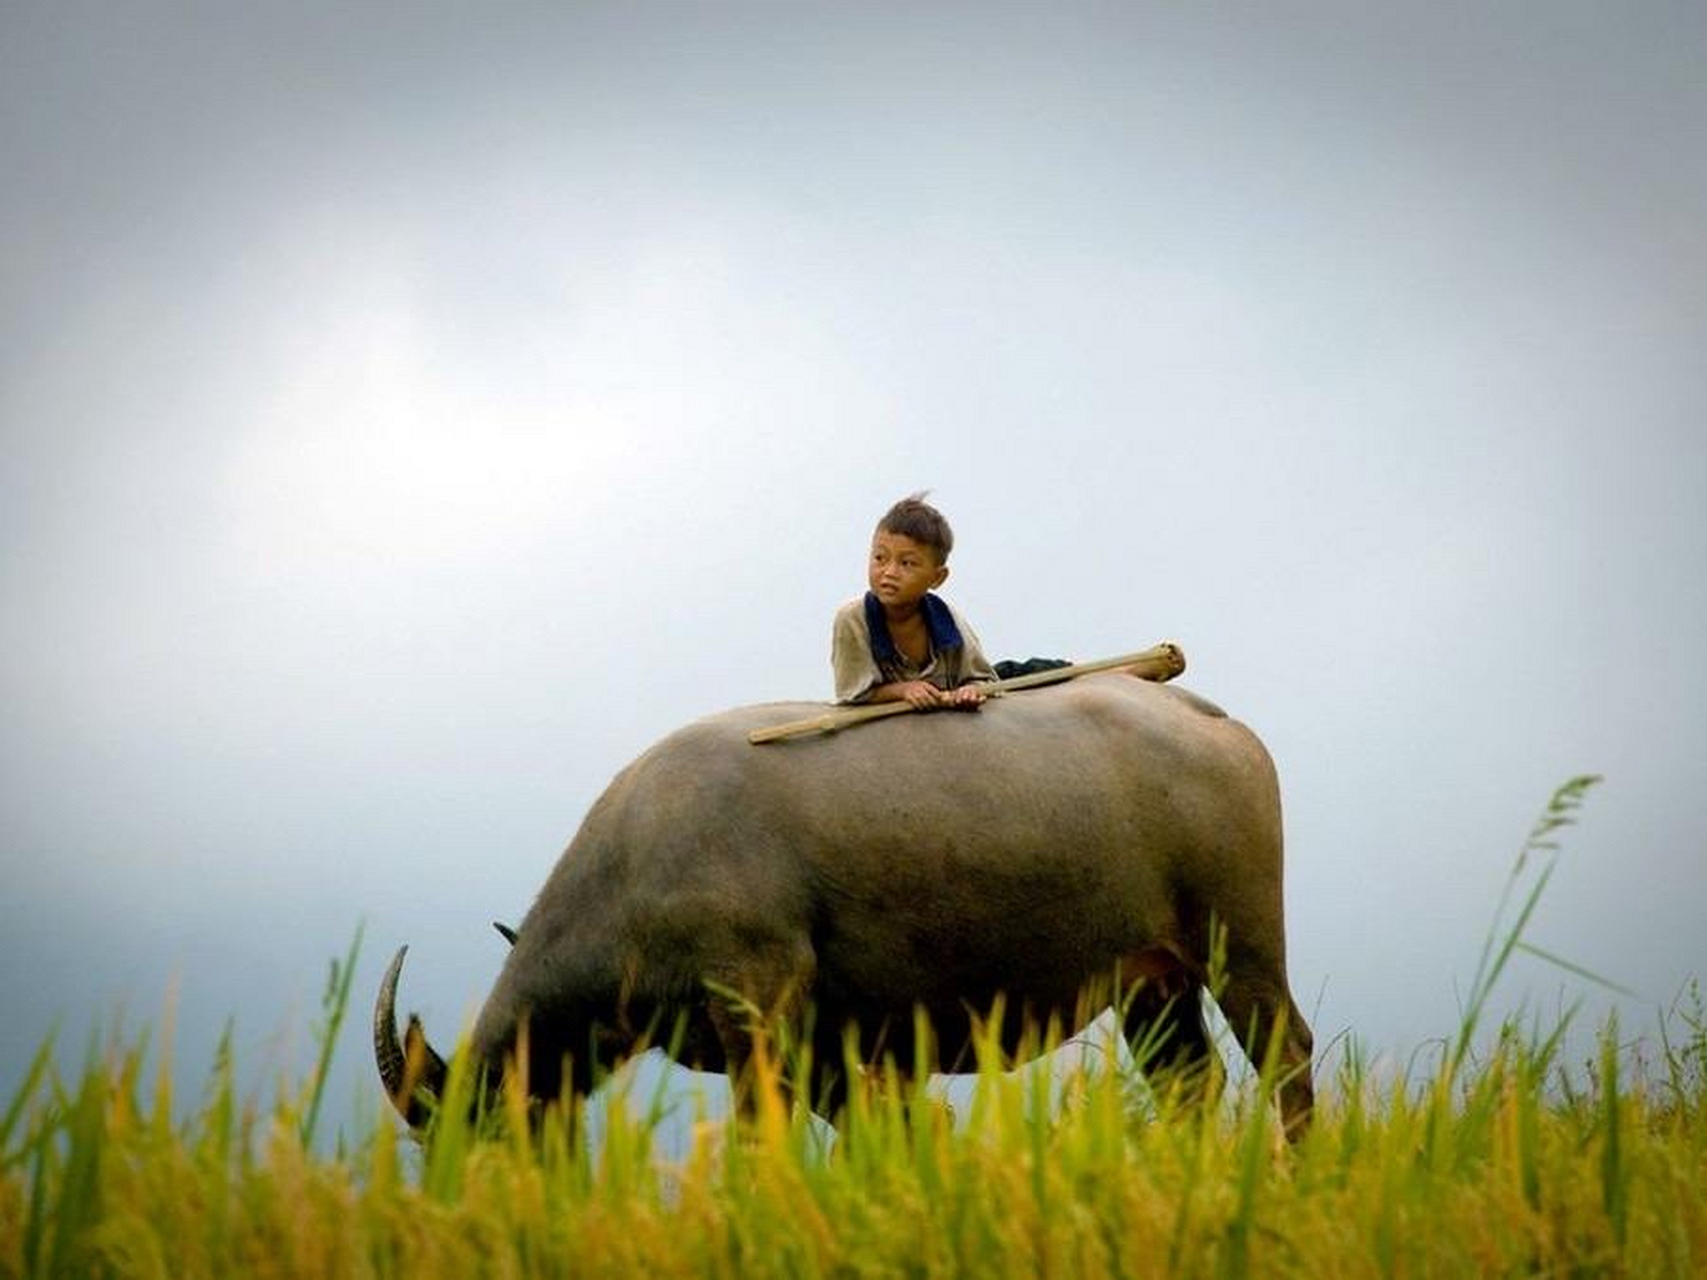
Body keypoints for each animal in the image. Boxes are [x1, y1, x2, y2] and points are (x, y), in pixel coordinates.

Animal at [373, 672, 1310, 1133]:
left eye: (477, 1131)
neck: (643, 853)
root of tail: (1207, 716)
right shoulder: (826, 1052)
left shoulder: (759, 1010)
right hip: (1154, 988)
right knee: (1190, 1087)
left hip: (1242, 952)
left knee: (1286, 1056)